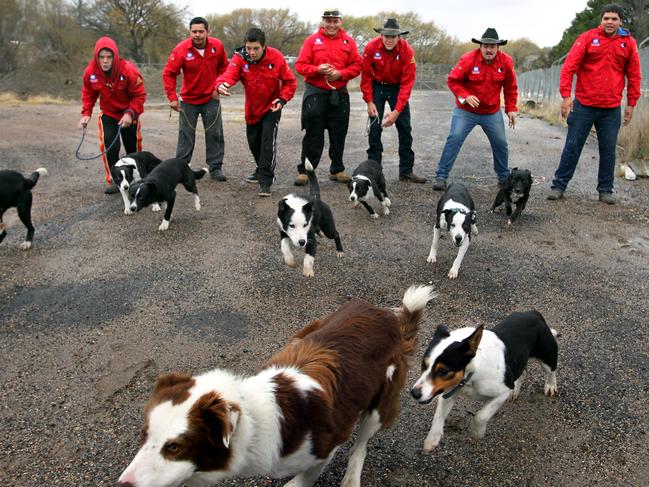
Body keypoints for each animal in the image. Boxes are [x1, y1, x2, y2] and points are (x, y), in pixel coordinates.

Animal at [119, 286, 438, 487]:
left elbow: (305, 478)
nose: (123, 484)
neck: (254, 423)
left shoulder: (327, 446)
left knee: (361, 444)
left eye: (174, 447)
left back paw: (351, 479)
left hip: (379, 402)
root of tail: (387, 315)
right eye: (143, 434)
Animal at [410, 312, 556, 454]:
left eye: (443, 371)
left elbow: (481, 415)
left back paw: (550, 386)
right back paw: (515, 391)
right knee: (523, 372)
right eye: (423, 364)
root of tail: (534, 313)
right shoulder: (449, 392)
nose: (414, 393)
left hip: (547, 357)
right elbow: (438, 416)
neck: (472, 373)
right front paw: (432, 439)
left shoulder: (503, 391)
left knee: (551, 371)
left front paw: (477, 432)